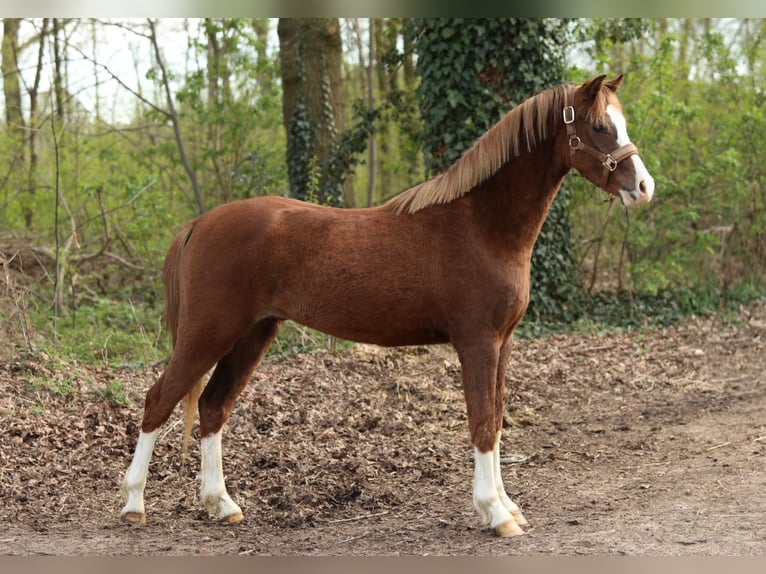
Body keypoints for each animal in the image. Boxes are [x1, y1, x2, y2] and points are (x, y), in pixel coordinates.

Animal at [120, 74, 654, 538]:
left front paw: (506, 505)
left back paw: (222, 505)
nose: (644, 187)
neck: (481, 225)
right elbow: (482, 422)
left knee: (212, 407)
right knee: (158, 400)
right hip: (208, 333)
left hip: (252, 335)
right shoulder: (477, 342)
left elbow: (497, 419)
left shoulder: (503, 343)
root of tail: (200, 223)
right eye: (600, 127)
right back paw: (133, 505)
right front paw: (495, 514)